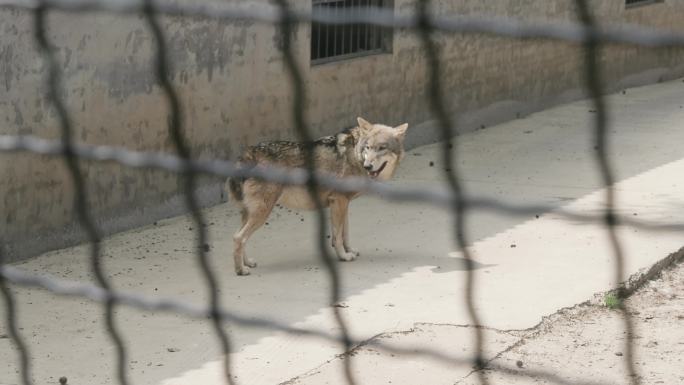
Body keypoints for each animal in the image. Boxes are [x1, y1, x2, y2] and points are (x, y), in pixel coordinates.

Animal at [227, 118, 408, 276]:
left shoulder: (343, 204)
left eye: (382, 148)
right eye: (368, 148)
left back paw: (247, 263)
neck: (354, 155)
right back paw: (240, 270)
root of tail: (247, 155)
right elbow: (337, 236)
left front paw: (350, 251)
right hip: (262, 213)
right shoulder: (339, 201)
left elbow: (345, 233)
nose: (368, 166)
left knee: (238, 237)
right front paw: (343, 256)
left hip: (251, 213)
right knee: (238, 238)